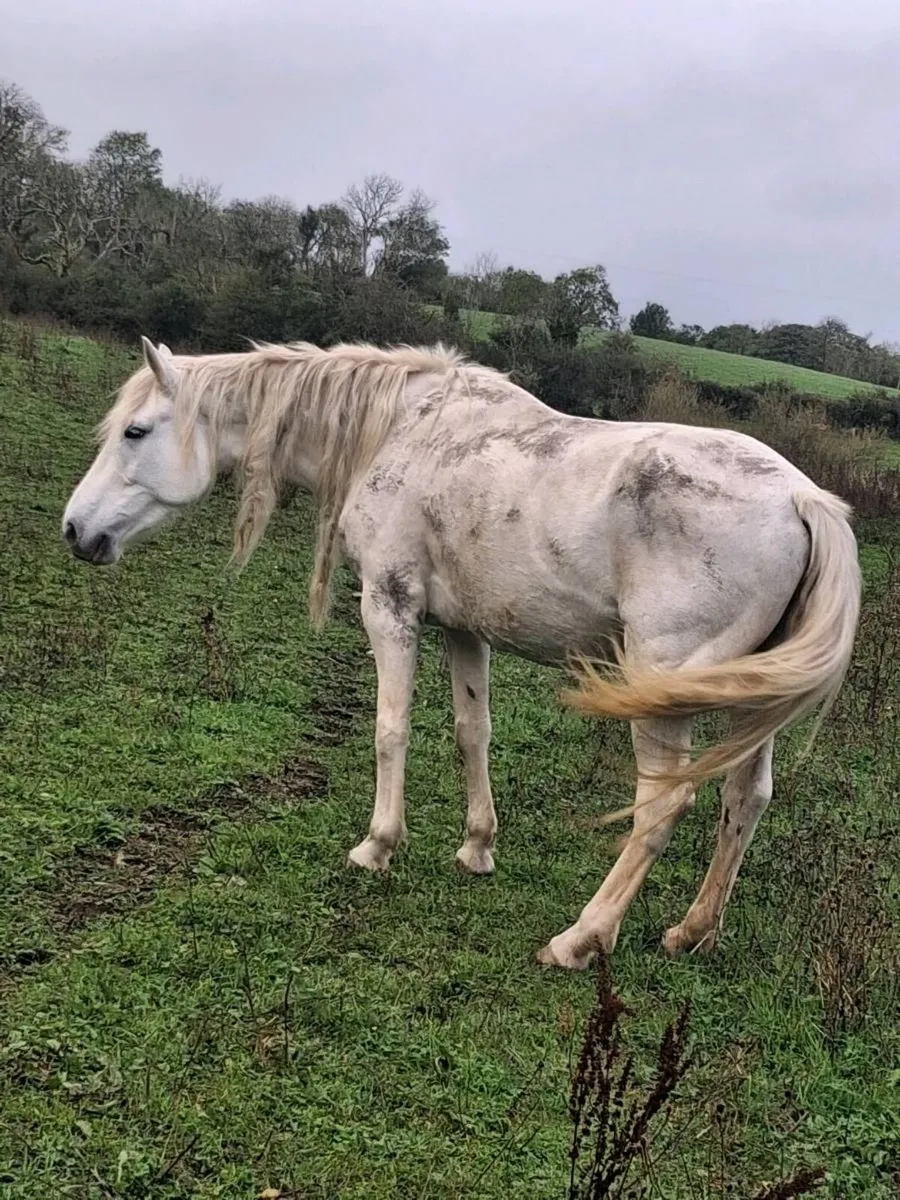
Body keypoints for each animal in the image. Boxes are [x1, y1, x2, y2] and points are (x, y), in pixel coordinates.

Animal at [61, 336, 861, 968]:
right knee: (744, 798)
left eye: (135, 431)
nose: (76, 530)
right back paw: (693, 933)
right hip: (748, 704)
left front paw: (378, 846)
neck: (398, 431)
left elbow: (391, 730)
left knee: (663, 807)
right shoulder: (464, 629)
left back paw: (580, 939)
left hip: (666, 694)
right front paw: (477, 848)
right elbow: (471, 731)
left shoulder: (390, 606)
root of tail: (802, 500)